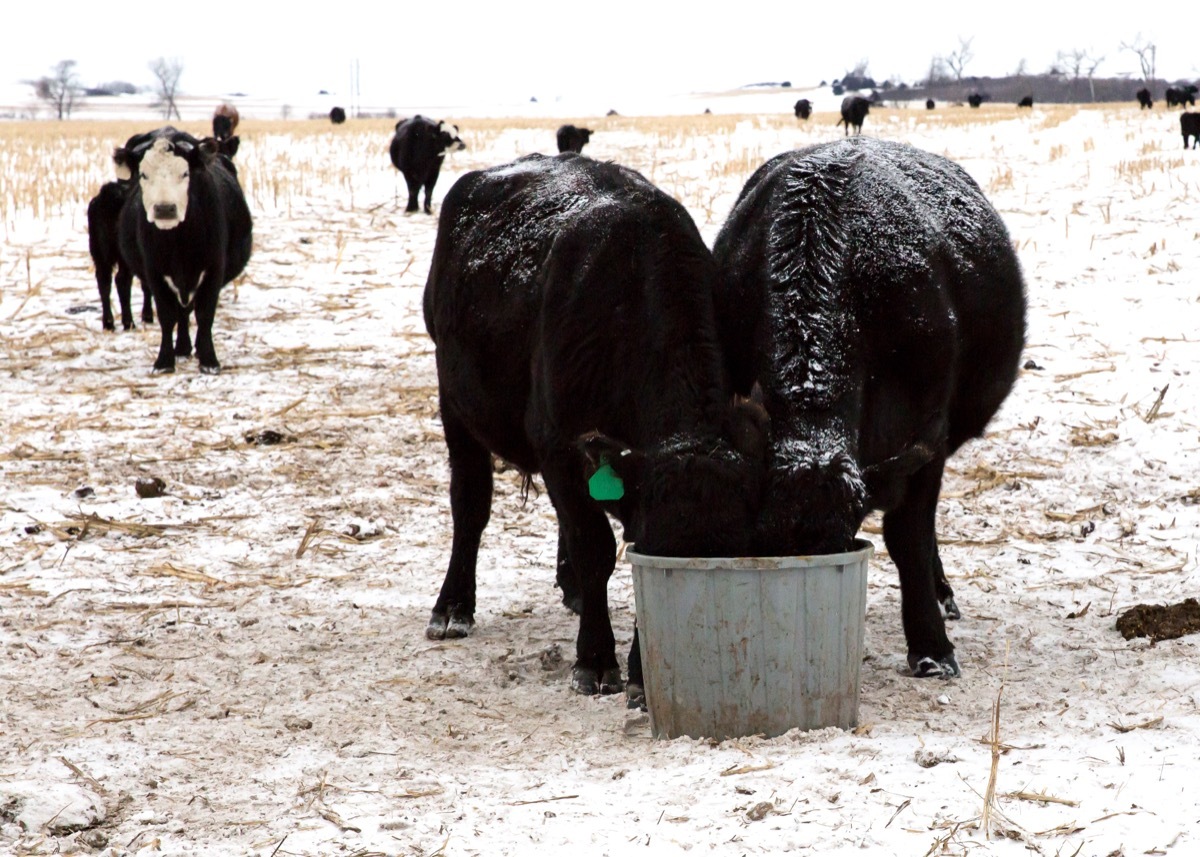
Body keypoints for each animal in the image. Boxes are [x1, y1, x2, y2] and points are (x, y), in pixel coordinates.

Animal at [87, 179, 153, 331]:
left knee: (104, 281)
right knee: (122, 280)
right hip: (124, 256)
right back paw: (129, 322)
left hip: (101, 252)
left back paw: (108, 323)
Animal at [114, 127, 253, 374]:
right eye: (143, 175)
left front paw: (209, 360)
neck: (179, 242)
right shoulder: (155, 272)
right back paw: (181, 348)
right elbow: (168, 315)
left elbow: (204, 314)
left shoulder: (214, 269)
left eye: (185, 174)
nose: (164, 209)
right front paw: (164, 361)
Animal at [422, 152, 770, 700]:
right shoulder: (557, 441)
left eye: (737, 553)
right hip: (455, 401)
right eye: (655, 554)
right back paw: (453, 606)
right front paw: (596, 660)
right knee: (470, 505)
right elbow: (594, 545)